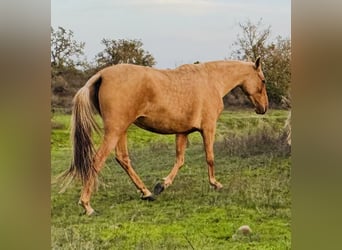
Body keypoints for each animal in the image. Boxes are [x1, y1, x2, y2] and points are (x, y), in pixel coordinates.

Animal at [65, 57, 268, 215]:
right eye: (264, 80)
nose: (264, 108)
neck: (211, 80)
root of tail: (102, 75)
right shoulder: (208, 128)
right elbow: (209, 157)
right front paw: (215, 184)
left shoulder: (182, 132)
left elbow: (180, 160)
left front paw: (162, 185)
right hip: (114, 131)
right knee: (97, 161)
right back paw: (87, 205)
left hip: (121, 130)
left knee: (123, 159)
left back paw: (147, 193)